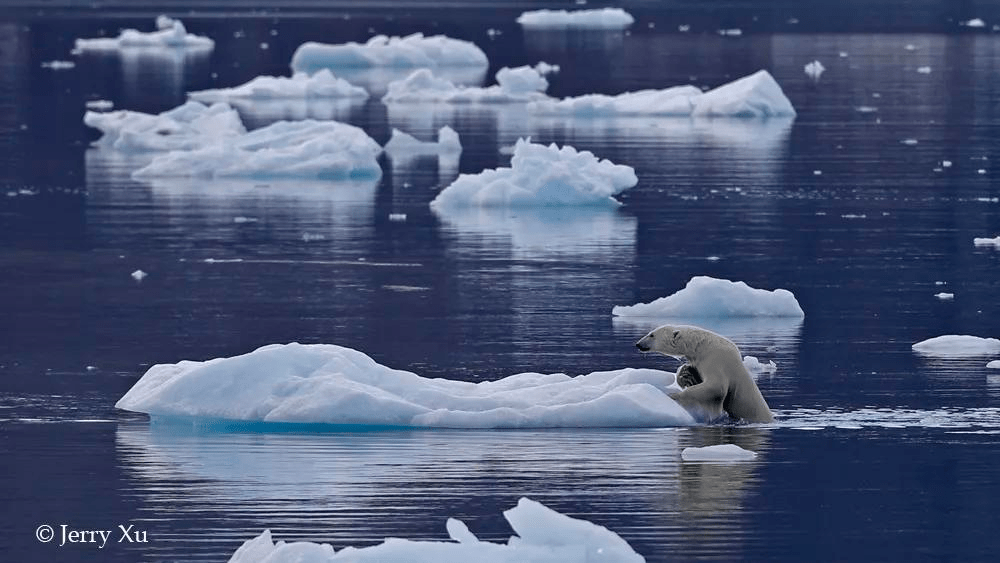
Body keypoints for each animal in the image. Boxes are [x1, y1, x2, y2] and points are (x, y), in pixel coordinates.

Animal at [632, 326, 772, 424]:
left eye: (652, 335)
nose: (638, 344)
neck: (702, 345)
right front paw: (686, 374)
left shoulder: (716, 359)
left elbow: (716, 387)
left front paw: (672, 395)